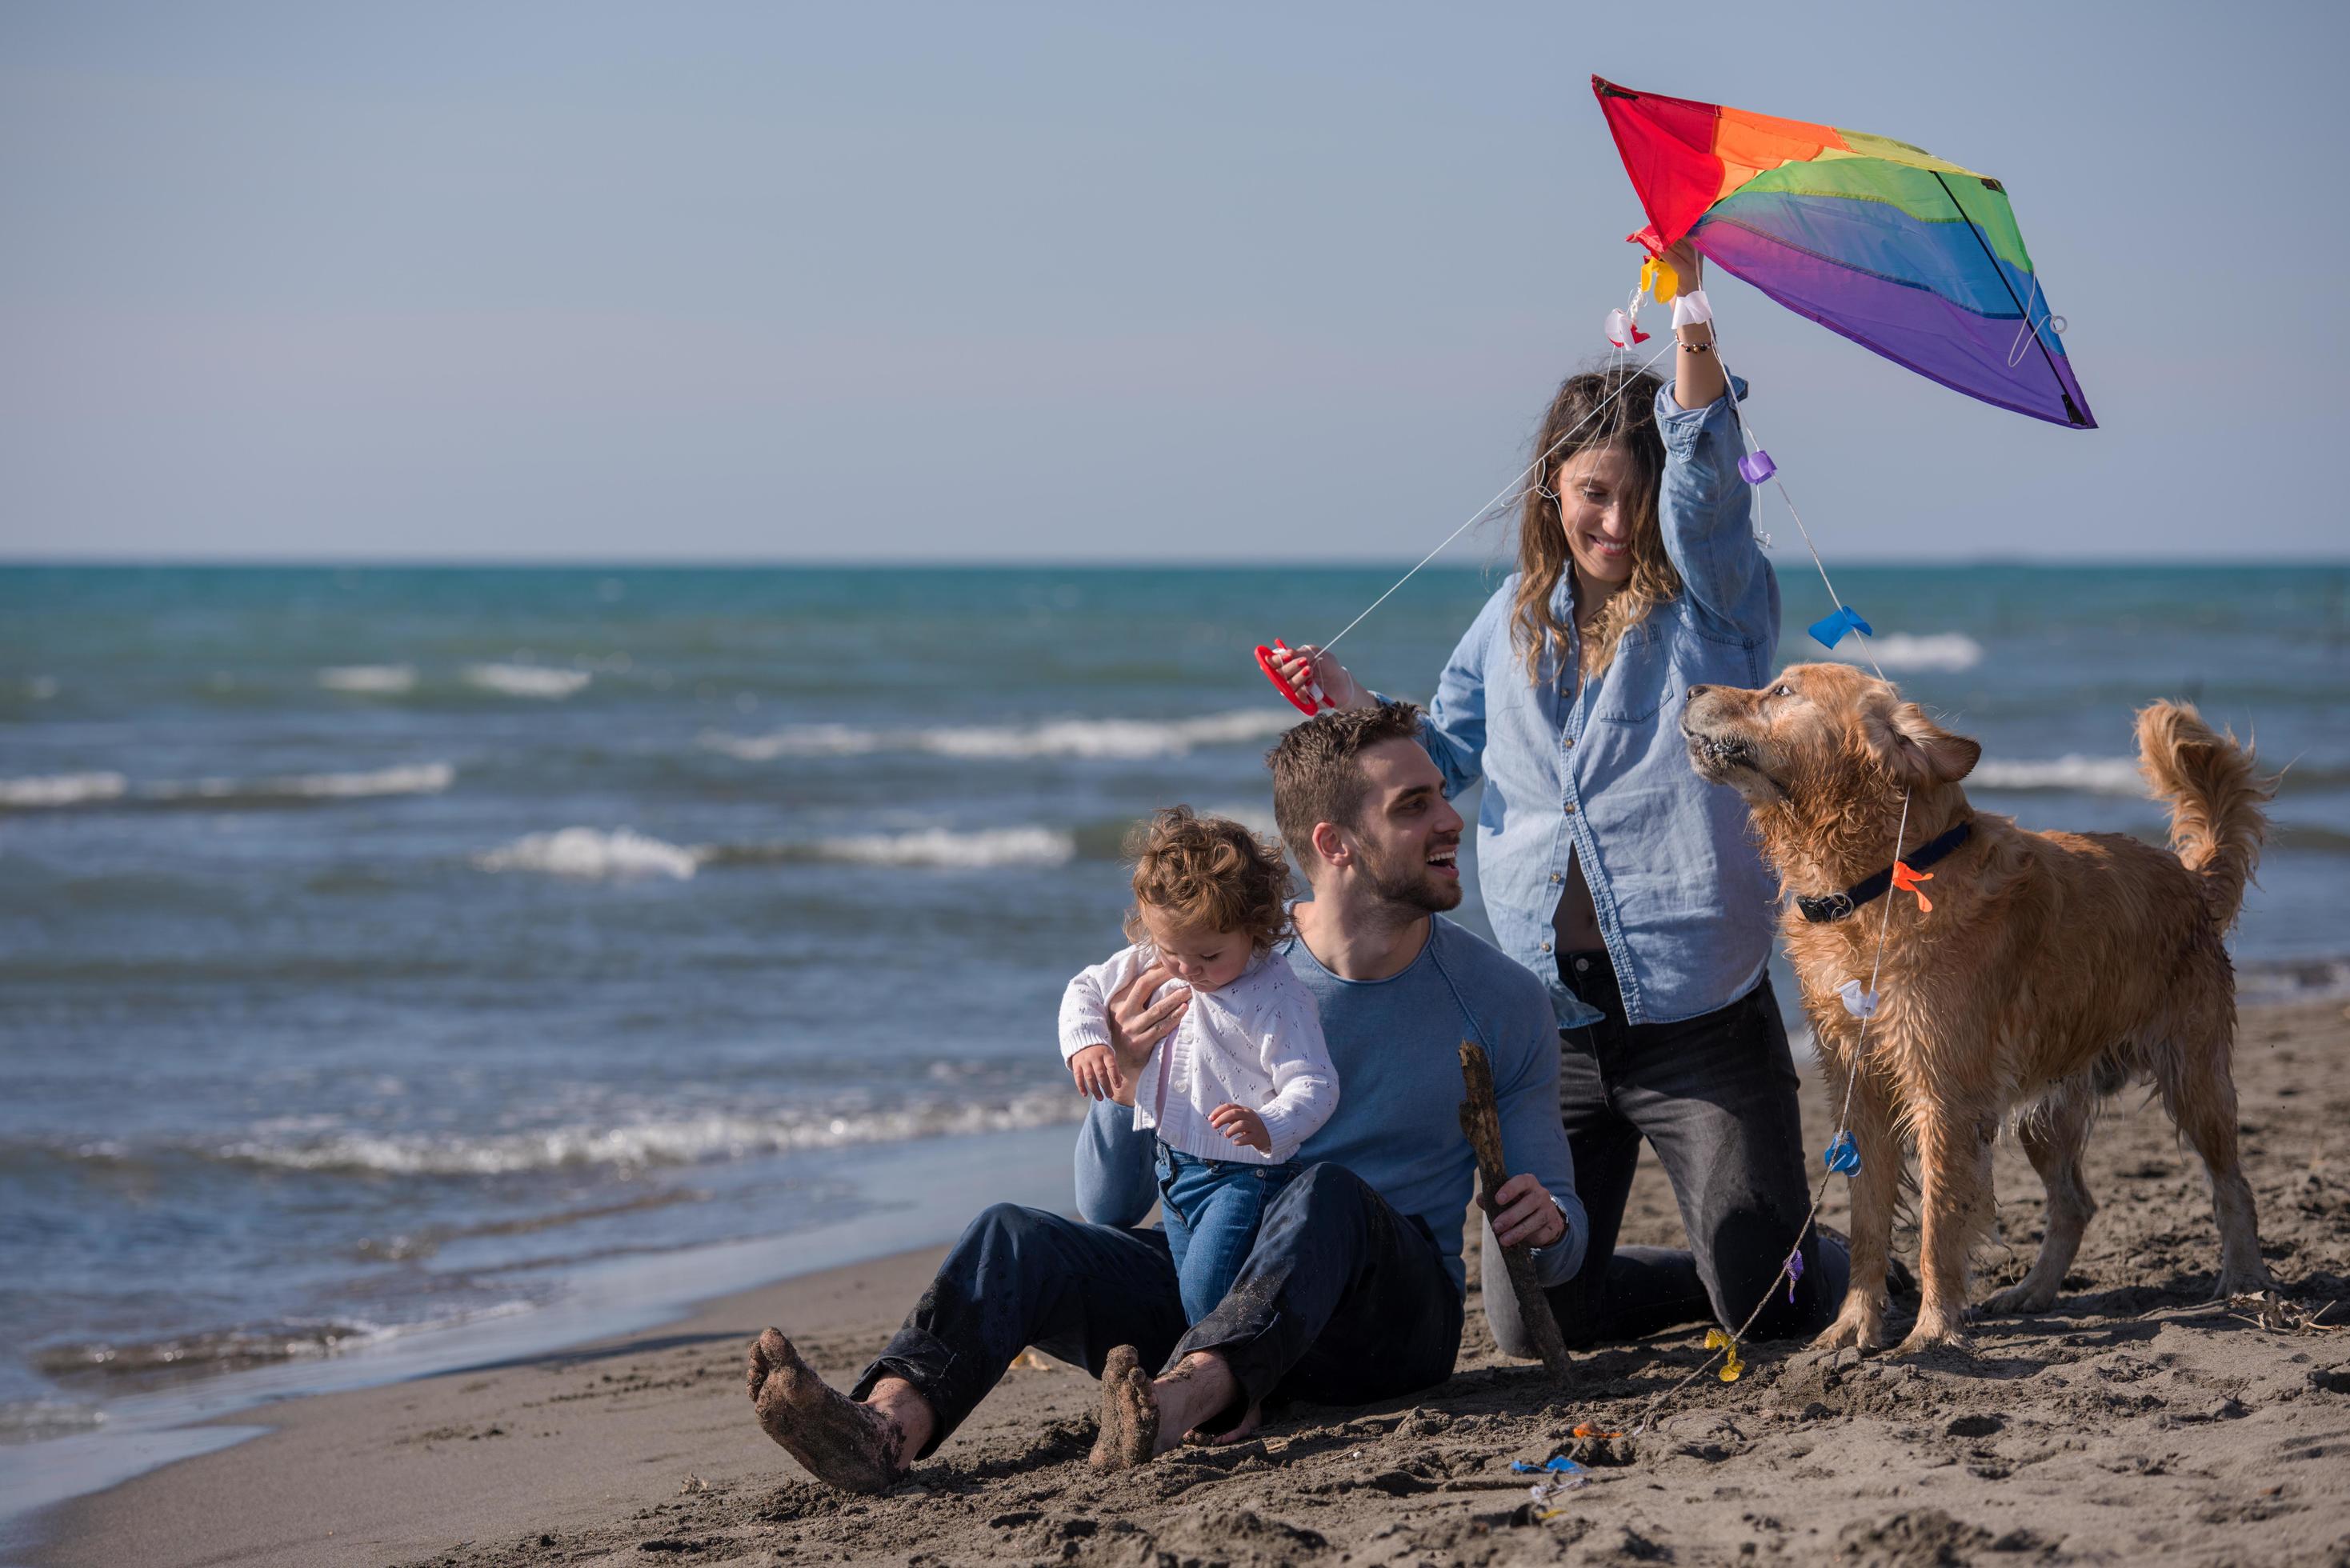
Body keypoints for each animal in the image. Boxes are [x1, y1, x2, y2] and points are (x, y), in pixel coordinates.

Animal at [1682, 662, 2265, 1363]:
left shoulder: (1944, 1096)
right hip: (2047, 1111)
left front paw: (1933, 1332)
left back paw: (2243, 1280)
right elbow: (1868, 1223)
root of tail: (2188, 877)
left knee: (2231, 1186)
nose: (1687, 689)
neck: (1876, 882)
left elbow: (1938, 1226)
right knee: (2075, 1204)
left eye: (1782, 692)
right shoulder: (1861, 1090)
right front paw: (1852, 1327)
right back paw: (2031, 1293)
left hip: (2193, 1078)